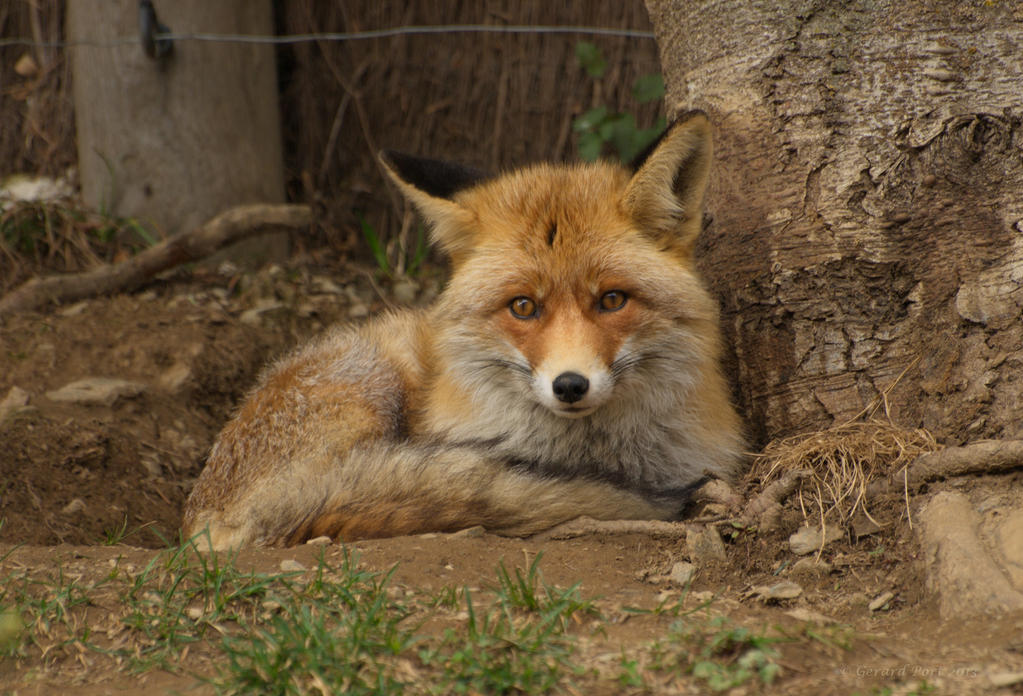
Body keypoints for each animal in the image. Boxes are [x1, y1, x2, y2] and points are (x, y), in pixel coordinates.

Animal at [182, 112, 744, 548]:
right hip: (370, 379)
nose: (570, 386)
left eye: (612, 300)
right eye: (523, 306)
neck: (591, 458)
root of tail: (199, 513)